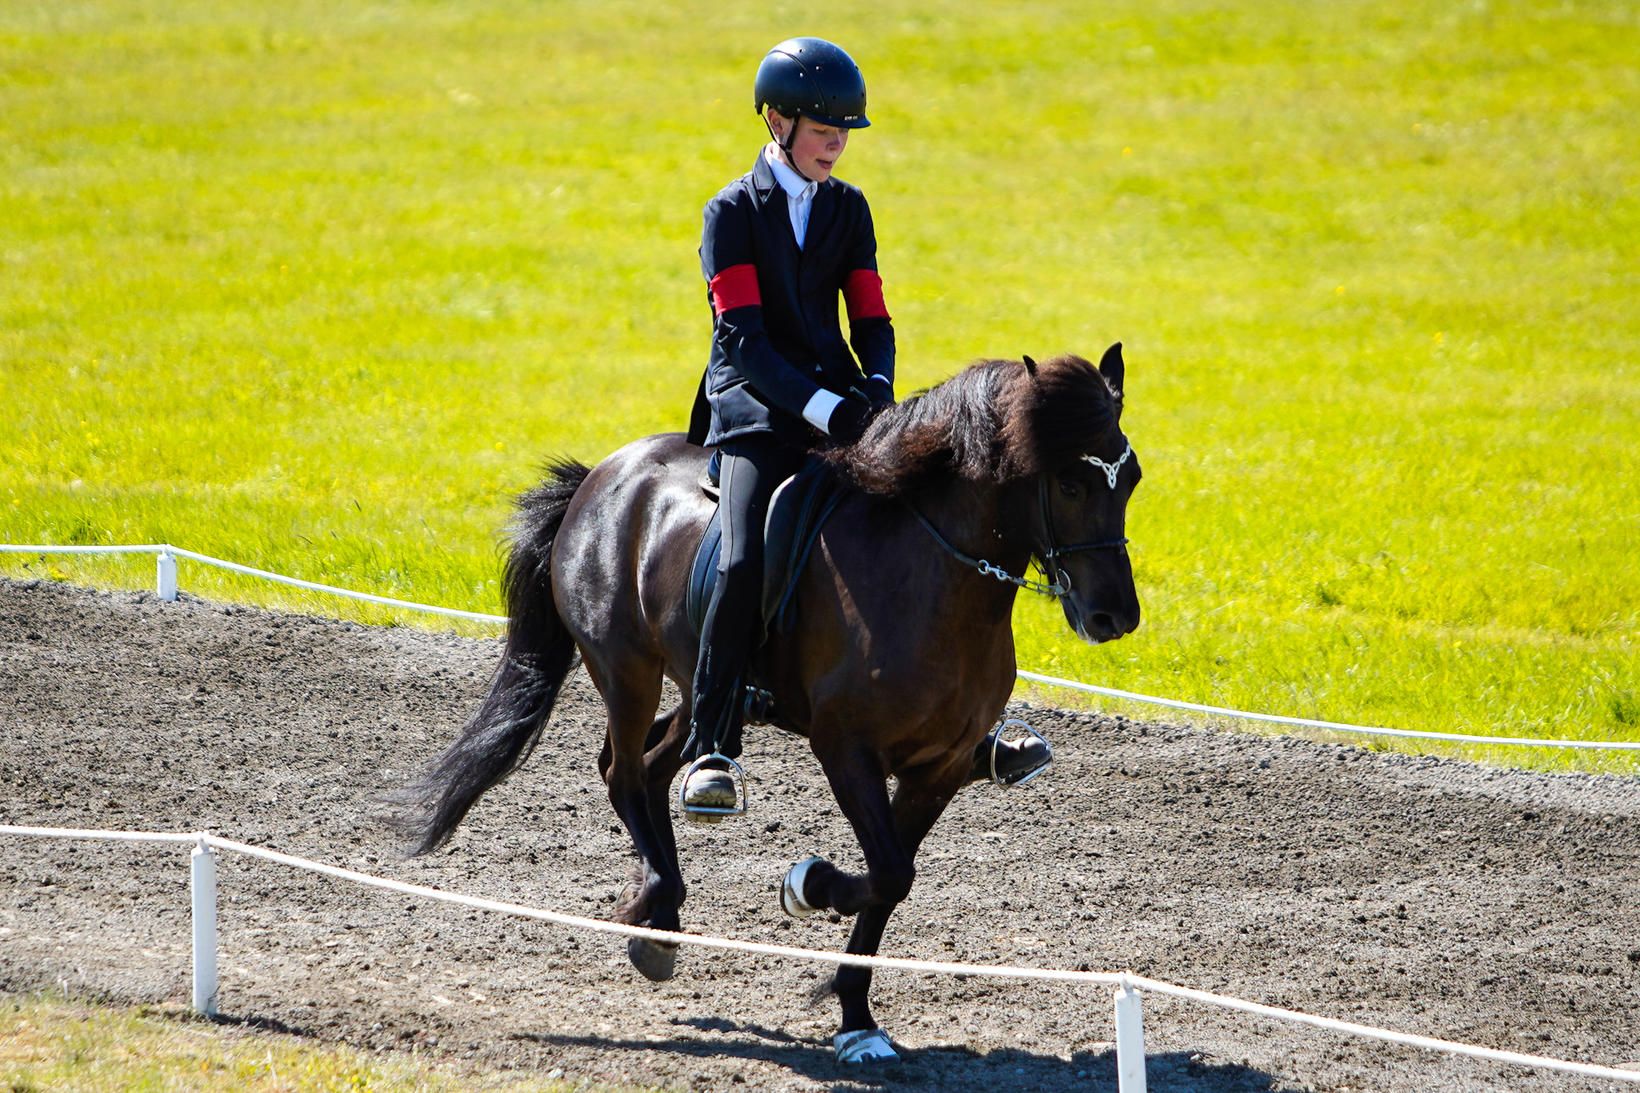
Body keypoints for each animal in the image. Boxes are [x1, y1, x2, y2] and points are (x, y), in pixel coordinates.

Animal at [391, 341, 1148, 1056]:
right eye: (1070, 481)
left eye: (1132, 478)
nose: (1115, 616)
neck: (933, 579)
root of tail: (604, 474)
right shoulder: (846, 748)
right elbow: (885, 872)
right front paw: (806, 885)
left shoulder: (940, 767)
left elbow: (894, 879)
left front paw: (857, 1020)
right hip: (625, 667)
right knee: (623, 770)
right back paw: (656, 910)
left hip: (702, 683)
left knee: (661, 761)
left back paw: (663, 909)